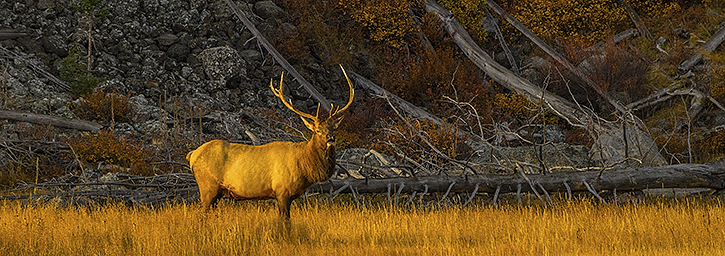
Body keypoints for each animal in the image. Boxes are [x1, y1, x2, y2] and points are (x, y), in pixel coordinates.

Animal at [184, 66, 354, 218]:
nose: (331, 138)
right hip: (208, 186)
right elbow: (285, 221)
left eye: (333, 129)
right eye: (317, 130)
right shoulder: (282, 190)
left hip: (216, 192)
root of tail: (192, 154)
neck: (304, 167)